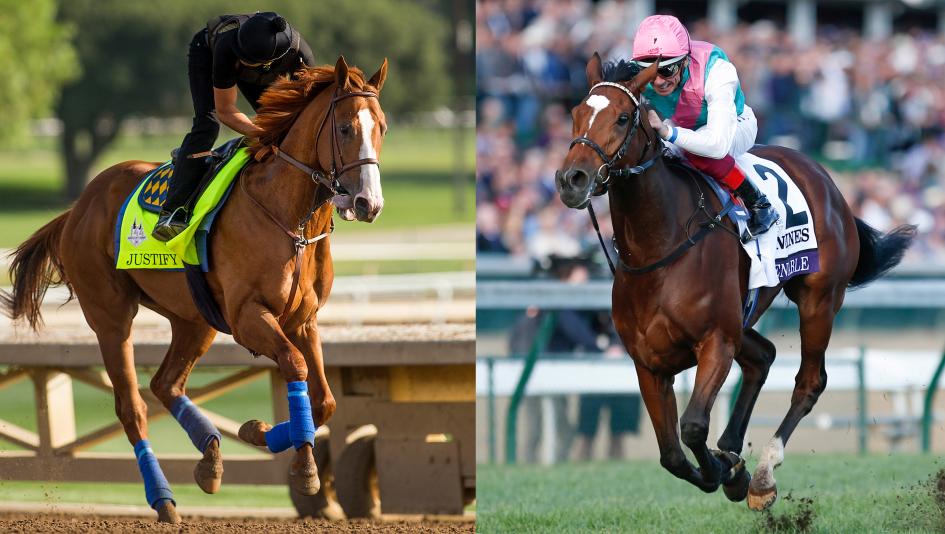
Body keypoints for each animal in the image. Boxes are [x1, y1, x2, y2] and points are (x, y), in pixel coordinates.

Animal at [1, 55, 388, 523]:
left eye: (382, 128)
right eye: (346, 128)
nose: (368, 203)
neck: (289, 219)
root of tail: (78, 208)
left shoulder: (302, 320)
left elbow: (325, 400)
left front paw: (258, 431)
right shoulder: (247, 316)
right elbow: (295, 367)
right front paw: (304, 467)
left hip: (194, 319)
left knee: (166, 384)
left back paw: (211, 458)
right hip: (111, 319)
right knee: (132, 407)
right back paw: (164, 499)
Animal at [554, 54, 915, 510]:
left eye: (622, 118)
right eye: (575, 114)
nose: (572, 180)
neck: (658, 248)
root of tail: (826, 178)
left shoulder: (716, 342)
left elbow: (692, 426)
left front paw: (728, 471)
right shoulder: (648, 360)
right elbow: (671, 454)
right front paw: (725, 467)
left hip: (818, 299)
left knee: (809, 382)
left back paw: (762, 474)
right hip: (743, 318)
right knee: (762, 357)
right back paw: (733, 452)